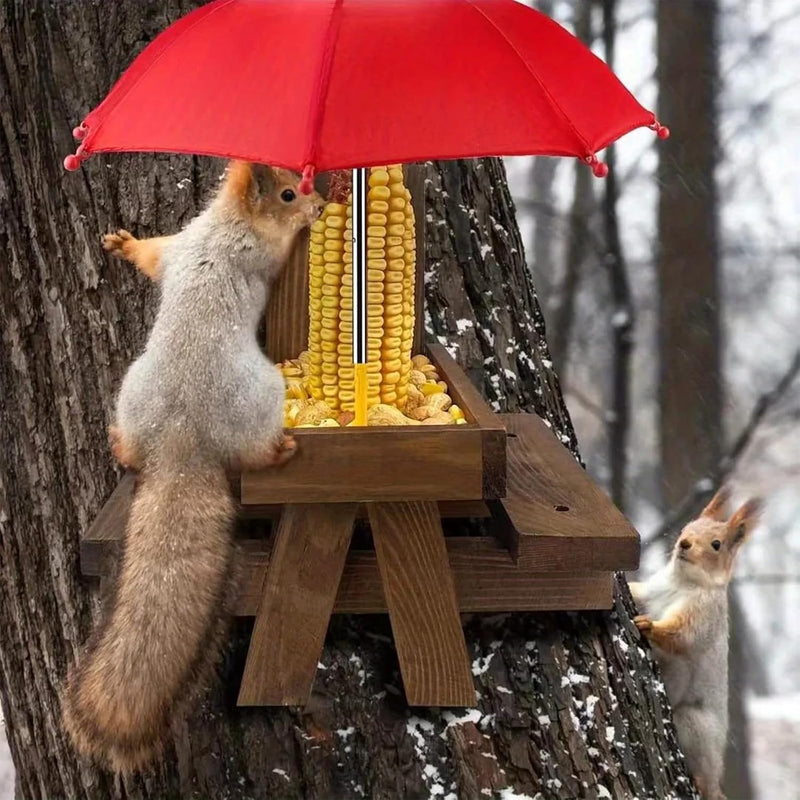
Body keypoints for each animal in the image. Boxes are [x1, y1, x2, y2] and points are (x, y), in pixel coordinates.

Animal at [63, 159, 324, 772]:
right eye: (287, 192)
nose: (322, 202)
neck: (225, 225)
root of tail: (182, 443)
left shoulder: (179, 246)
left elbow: (153, 254)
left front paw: (123, 243)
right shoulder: (258, 250)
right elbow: (280, 249)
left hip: (131, 393)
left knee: (130, 445)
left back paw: (120, 443)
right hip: (262, 397)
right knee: (254, 453)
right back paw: (281, 450)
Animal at [628, 488, 760, 800]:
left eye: (716, 544)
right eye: (688, 526)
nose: (684, 543)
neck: (681, 581)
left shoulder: (703, 615)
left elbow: (682, 635)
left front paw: (649, 626)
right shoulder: (652, 591)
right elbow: (638, 593)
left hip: (693, 724)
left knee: (701, 771)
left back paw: (701, 780)